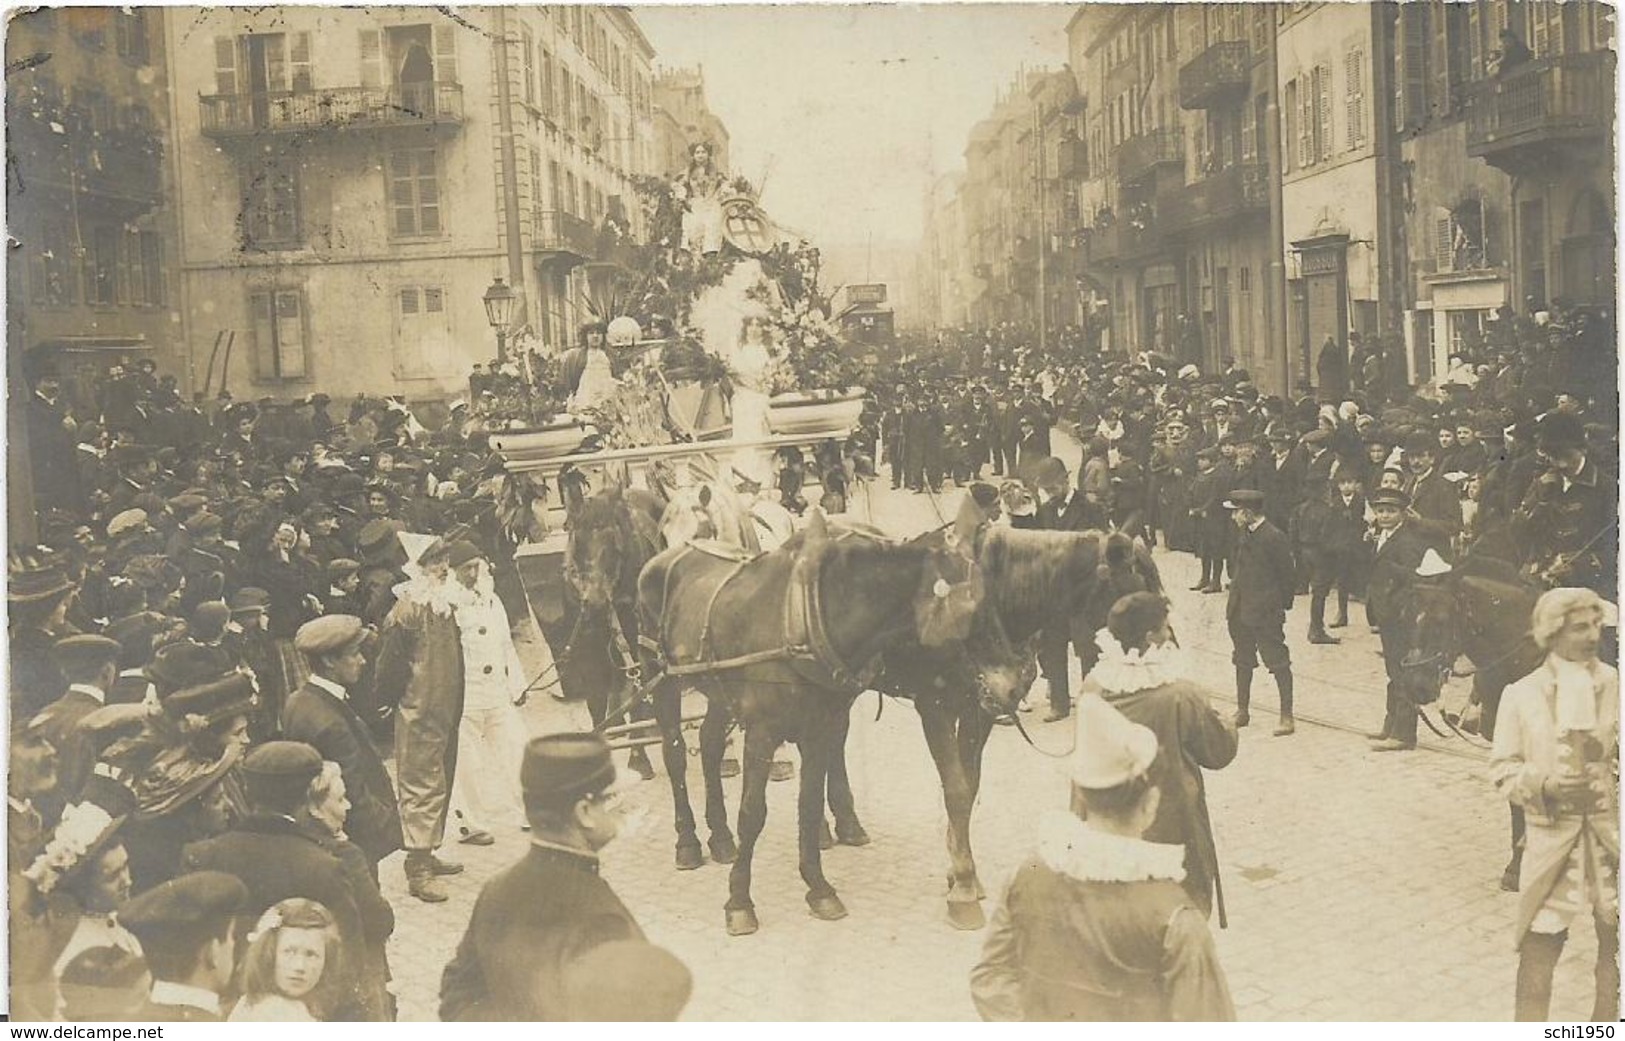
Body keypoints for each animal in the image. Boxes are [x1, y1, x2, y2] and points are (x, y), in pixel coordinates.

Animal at [633, 513, 1027, 935]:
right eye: (972, 611)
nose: (1014, 684)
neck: (804, 621)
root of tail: (662, 556)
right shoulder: (762, 733)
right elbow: (752, 814)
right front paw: (739, 901)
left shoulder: (818, 730)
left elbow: (807, 805)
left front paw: (819, 888)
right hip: (661, 680)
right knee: (675, 755)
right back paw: (688, 842)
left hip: (719, 692)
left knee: (708, 745)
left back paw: (720, 838)